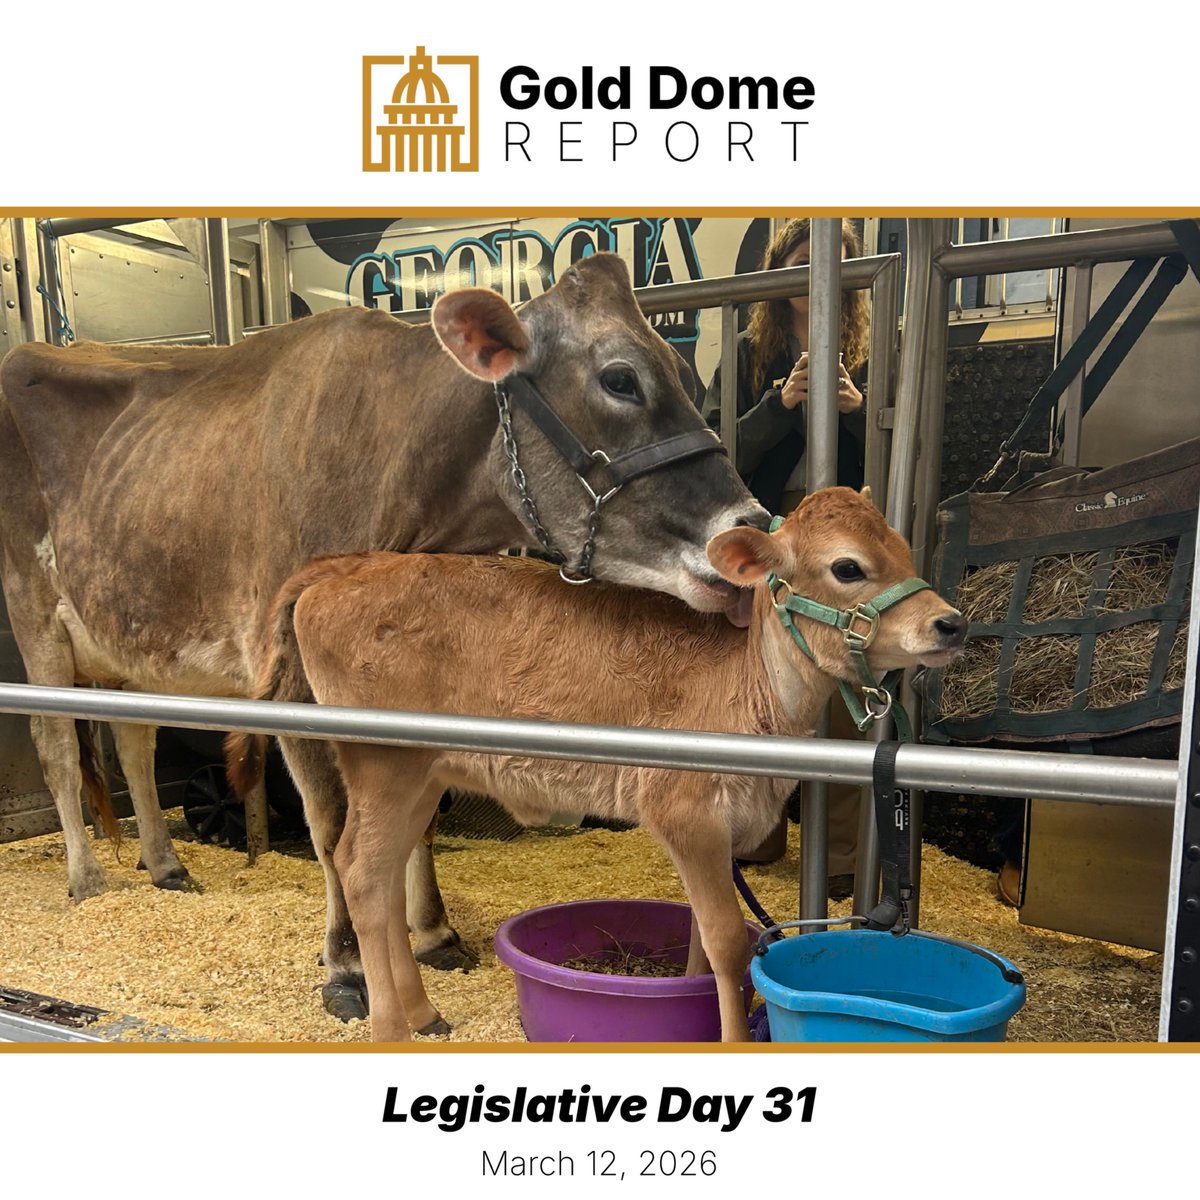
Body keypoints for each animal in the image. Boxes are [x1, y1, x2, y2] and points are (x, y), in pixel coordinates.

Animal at [0, 253, 768, 1020]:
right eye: (620, 379)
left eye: (684, 368)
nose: (753, 527)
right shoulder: (295, 690)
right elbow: (331, 826)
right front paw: (347, 966)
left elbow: (417, 824)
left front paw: (432, 933)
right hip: (33, 614)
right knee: (56, 747)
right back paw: (89, 879)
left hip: (127, 642)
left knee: (132, 740)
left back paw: (165, 864)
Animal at [225, 487, 967, 1041]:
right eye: (848, 567)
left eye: (902, 547)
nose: (951, 622)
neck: (758, 705)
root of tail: (346, 566)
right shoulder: (685, 811)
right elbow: (729, 941)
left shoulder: (723, 829)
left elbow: (699, 940)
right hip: (383, 761)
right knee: (357, 868)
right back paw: (390, 1028)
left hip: (421, 774)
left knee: (384, 872)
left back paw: (423, 1012)